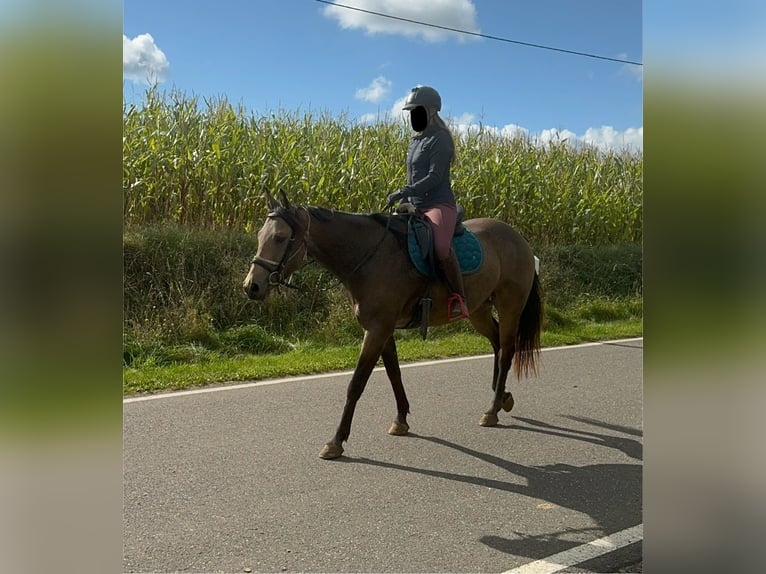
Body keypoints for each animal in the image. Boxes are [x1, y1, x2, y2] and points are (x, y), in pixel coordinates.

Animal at [243, 191, 544, 462]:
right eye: (259, 237)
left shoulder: (377, 329)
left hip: (509, 307)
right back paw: (501, 396)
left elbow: (356, 384)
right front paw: (401, 420)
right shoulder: (382, 329)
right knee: (496, 342)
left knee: (506, 351)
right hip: (479, 310)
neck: (369, 256)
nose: (251, 287)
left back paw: (492, 410)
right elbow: (394, 373)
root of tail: (517, 237)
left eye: (280, 238)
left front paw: (336, 441)